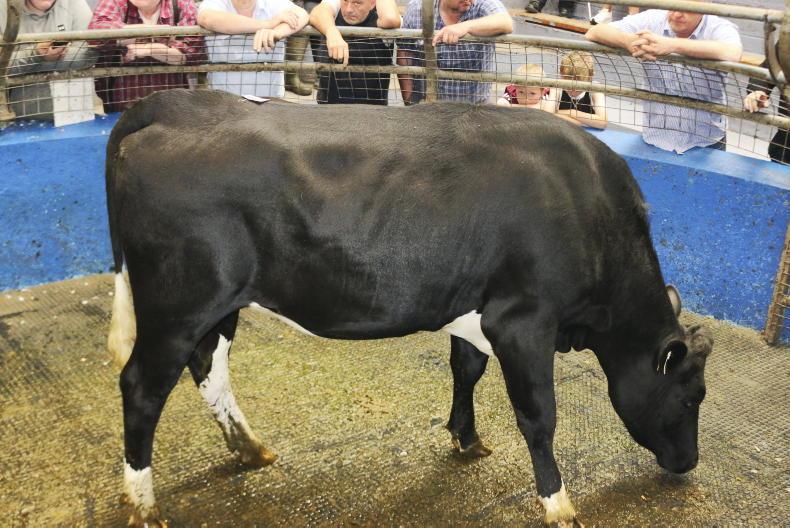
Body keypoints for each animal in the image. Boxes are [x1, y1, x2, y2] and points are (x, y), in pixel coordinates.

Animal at [106, 89, 713, 527]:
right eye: (691, 398)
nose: (689, 462)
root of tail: (173, 104)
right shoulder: (523, 320)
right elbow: (539, 415)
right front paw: (558, 504)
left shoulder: (475, 309)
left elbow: (467, 369)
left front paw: (466, 438)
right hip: (179, 303)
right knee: (141, 386)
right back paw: (144, 504)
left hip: (217, 305)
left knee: (208, 367)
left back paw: (250, 450)